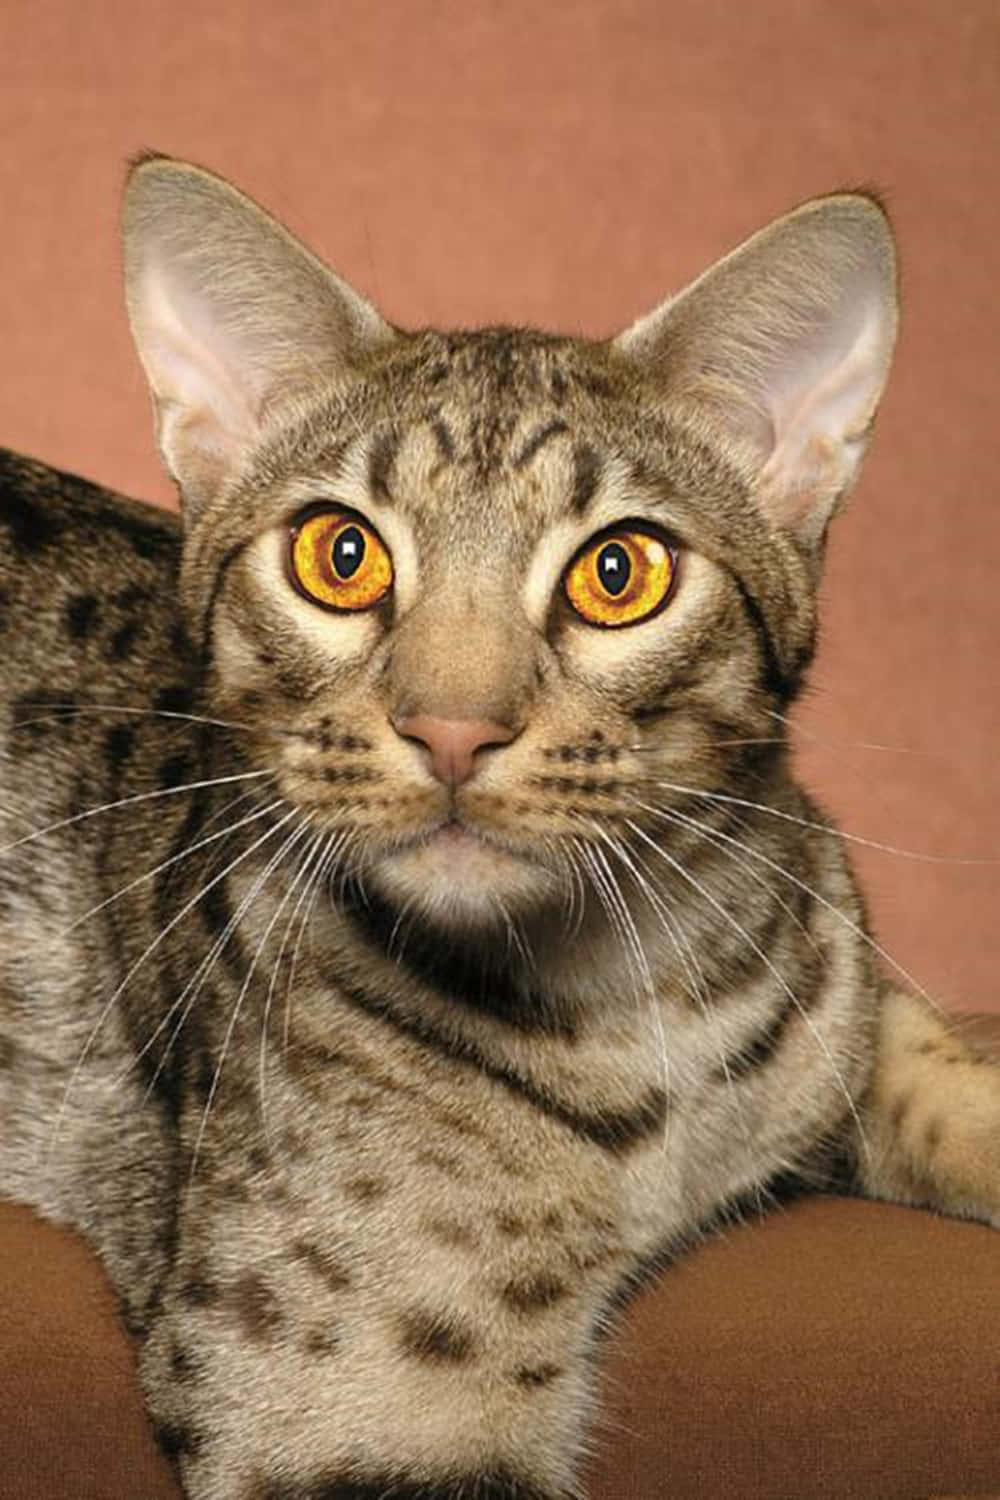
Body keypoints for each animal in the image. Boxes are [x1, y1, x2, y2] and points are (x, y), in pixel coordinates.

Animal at [0, 155, 995, 1500]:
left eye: (618, 572)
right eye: (341, 555)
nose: (453, 729)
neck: (650, 1010)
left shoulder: (845, 984)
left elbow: (939, 1064)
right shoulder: (351, 1410)